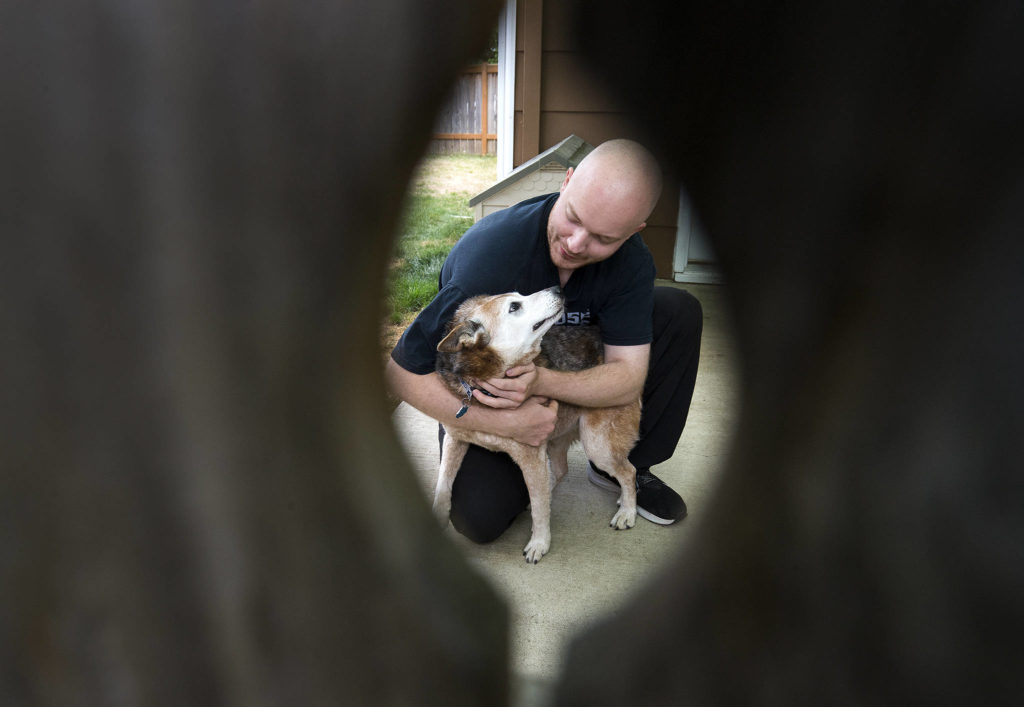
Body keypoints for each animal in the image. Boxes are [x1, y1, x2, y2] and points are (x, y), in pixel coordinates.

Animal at [430, 284, 638, 561]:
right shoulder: (455, 440)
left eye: (519, 296)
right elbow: (442, 486)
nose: (557, 288)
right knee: (559, 472)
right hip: (557, 439)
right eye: (514, 306)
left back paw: (627, 511)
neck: (483, 384)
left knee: (629, 472)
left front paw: (540, 542)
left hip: (597, 445)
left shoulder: (531, 455)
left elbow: (540, 510)